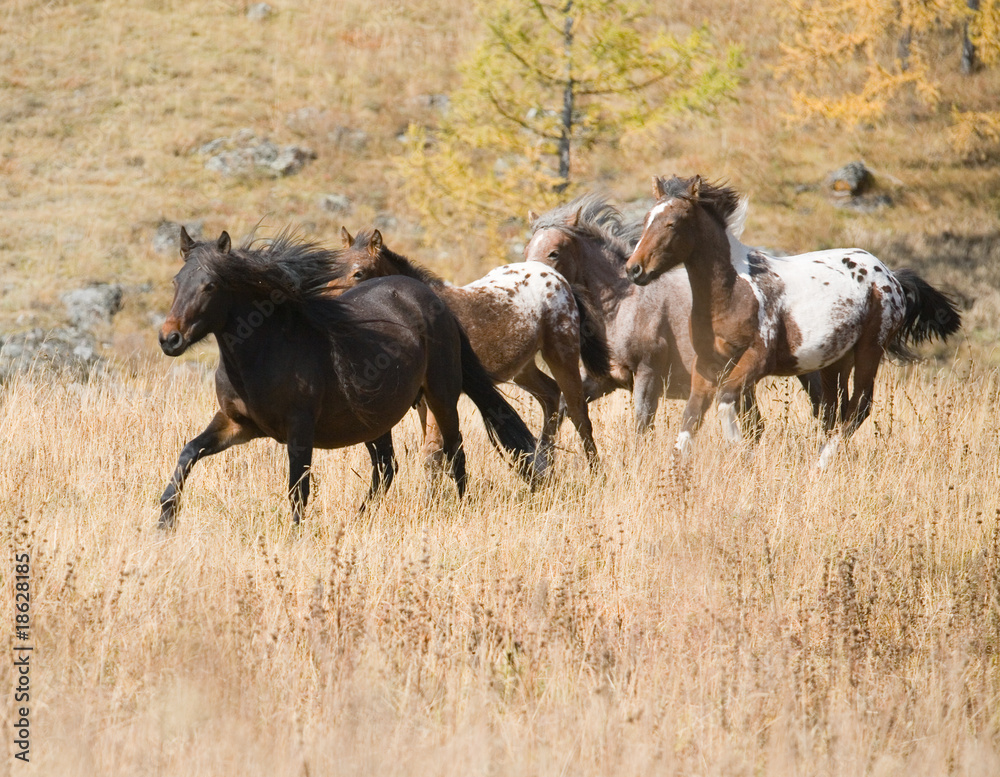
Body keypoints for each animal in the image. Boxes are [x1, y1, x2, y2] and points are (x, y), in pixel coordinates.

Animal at [157, 227, 539, 527]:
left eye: (209, 285)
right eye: (176, 281)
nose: (169, 339)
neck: (265, 351)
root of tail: (432, 298)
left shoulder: (299, 430)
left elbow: (297, 489)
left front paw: (294, 536)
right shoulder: (236, 424)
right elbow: (188, 452)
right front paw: (166, 520)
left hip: (440, 396)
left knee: (454, 449)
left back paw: (459, 508)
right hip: (376, 419)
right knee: (387, 467)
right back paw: (360, 518)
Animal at [326, 227, 610, 475]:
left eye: (359, 273)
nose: (330, 306)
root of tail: (558, 279)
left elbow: (433, 452)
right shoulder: (423, 401)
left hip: (561, 354)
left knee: (578, 413)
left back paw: (595, 473)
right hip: (522, 368)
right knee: (550, 395)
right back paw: (545, 463)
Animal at [523, 193, 769, 437]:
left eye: (553, 252)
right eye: (526, 251)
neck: (622, 307)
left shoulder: (647, 376)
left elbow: (641, 426)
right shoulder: (602, 380)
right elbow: (565, 408)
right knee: (754, 427)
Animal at [624, 175, 961, 467]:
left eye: (673, 223)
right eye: (646, 219)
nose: (634, 269)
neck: (733, 291)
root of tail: (890, 276)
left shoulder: (757, 360)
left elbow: (726, 402)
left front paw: (740, 452)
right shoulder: (707, 364)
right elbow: (690, 420)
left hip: (870, 350)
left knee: (859, 407)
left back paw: (821, 465)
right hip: (835, 361)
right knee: (832, 410)